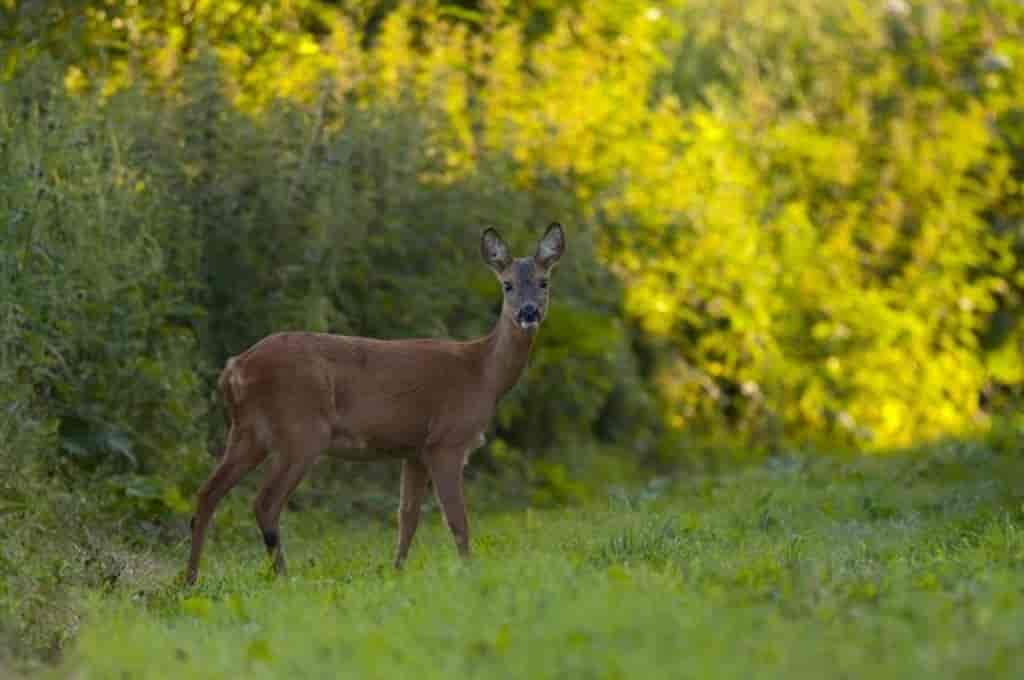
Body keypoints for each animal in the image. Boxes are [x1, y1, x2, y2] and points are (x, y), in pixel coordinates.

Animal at [186, 223, 569, 585]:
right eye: (507, 285)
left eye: (544, 282)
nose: (529, 312)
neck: (482, 372)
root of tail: (234, 368)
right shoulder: (447, 440)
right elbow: (457, 520)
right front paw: (469, 571)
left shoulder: (415, 449)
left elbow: (407, 517)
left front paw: (396, 572)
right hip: (300, 430)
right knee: (264, 502)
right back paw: (282, 577)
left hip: (248, 431)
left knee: (207, 493)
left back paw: (189, 580)